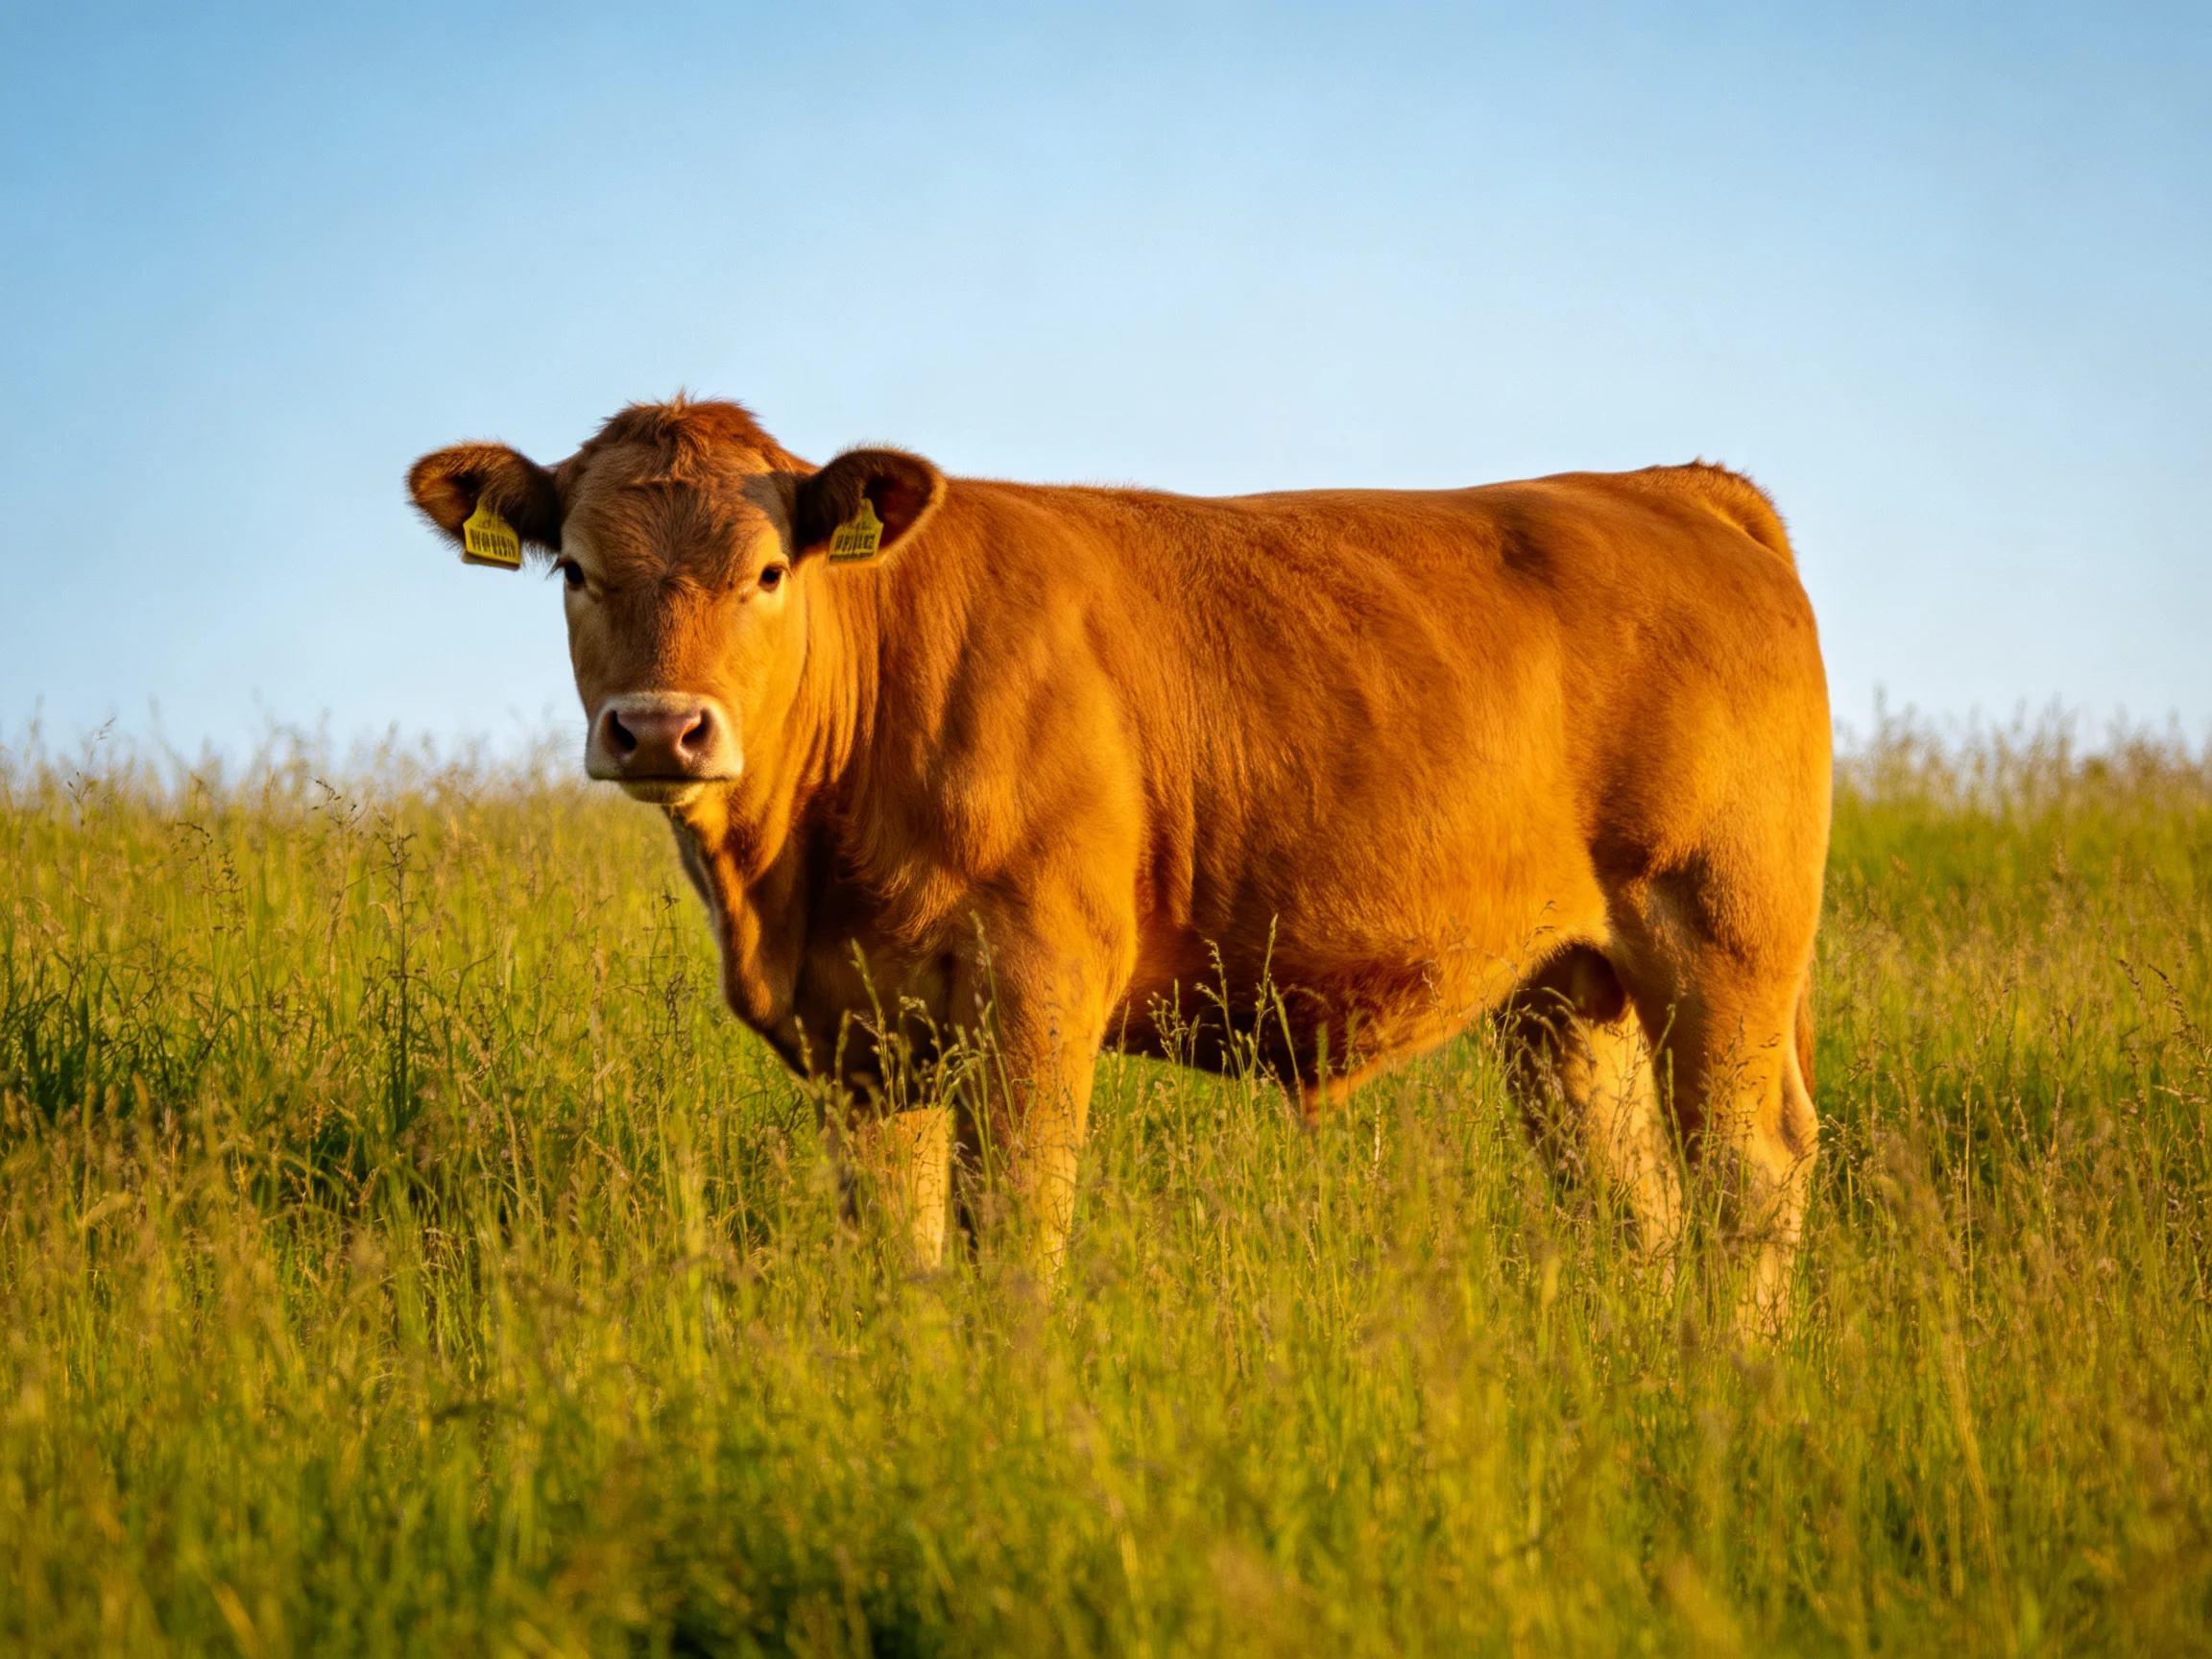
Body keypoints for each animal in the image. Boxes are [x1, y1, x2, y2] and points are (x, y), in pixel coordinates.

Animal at [408, 397, 1830, 1324]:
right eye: (576, 572)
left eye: (768, 572)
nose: (662, 727)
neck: (792, 883)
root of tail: (1667, 486)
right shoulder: (859, 1036)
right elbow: (901, 1252)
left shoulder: (1035, 990)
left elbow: (1017, 1236)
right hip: (1568, 991)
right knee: (1630, 1200)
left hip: (1722, 937)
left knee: (1747, 1173)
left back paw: (1729, 1388)